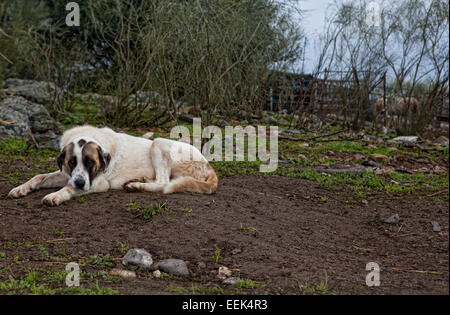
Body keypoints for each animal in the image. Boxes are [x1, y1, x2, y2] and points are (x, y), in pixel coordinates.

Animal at [7, 126, 218, 207]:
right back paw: (140, 180)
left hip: (158, 143)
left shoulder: (97, 183)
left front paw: (55, 196)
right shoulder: (67, 174)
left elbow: (67, 187)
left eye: (90, 162)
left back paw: (136, 185)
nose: (80, 183)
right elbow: (39, 177)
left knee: (164, 183)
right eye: (71, 162)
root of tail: (209, 166)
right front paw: (20, 189)